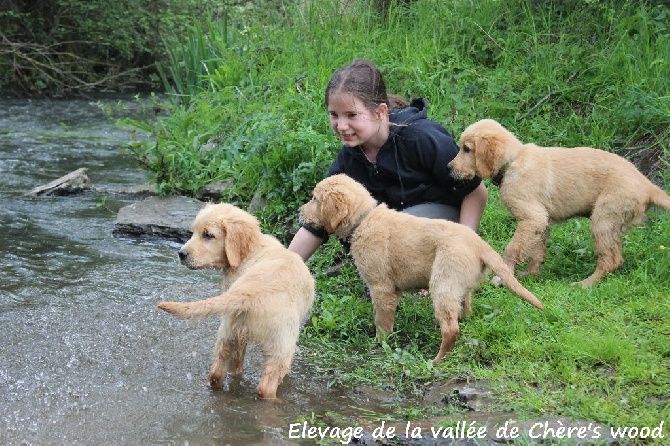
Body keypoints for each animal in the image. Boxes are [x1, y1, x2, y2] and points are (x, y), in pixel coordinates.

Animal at [159, 204, 316, 398]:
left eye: (208, 235)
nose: (181, 254)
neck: (251, 251)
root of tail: (248, 291)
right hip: (282, 344)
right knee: (266, 385)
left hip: (229, 331)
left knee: (217, 372)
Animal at [300, 174, 544, 362]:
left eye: (314, 199)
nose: (299, 212)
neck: (363, 221)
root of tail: (480, 245)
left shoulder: (381, 287)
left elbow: (382, 320)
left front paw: (379, 342)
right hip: (460, 285)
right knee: (465, 310)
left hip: (443, 281)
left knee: (451, 329)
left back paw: (437, 360)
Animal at [448, 118, 670, 288]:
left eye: (466, 149)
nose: (448, 168)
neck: (513, 162)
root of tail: (648, 186)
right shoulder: (541, 221)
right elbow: (536, 251)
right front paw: (530, 274)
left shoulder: (532, 217)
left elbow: (512, 249)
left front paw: (501, 278)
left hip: (604, 218)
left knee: (611, 260)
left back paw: (584, 284)